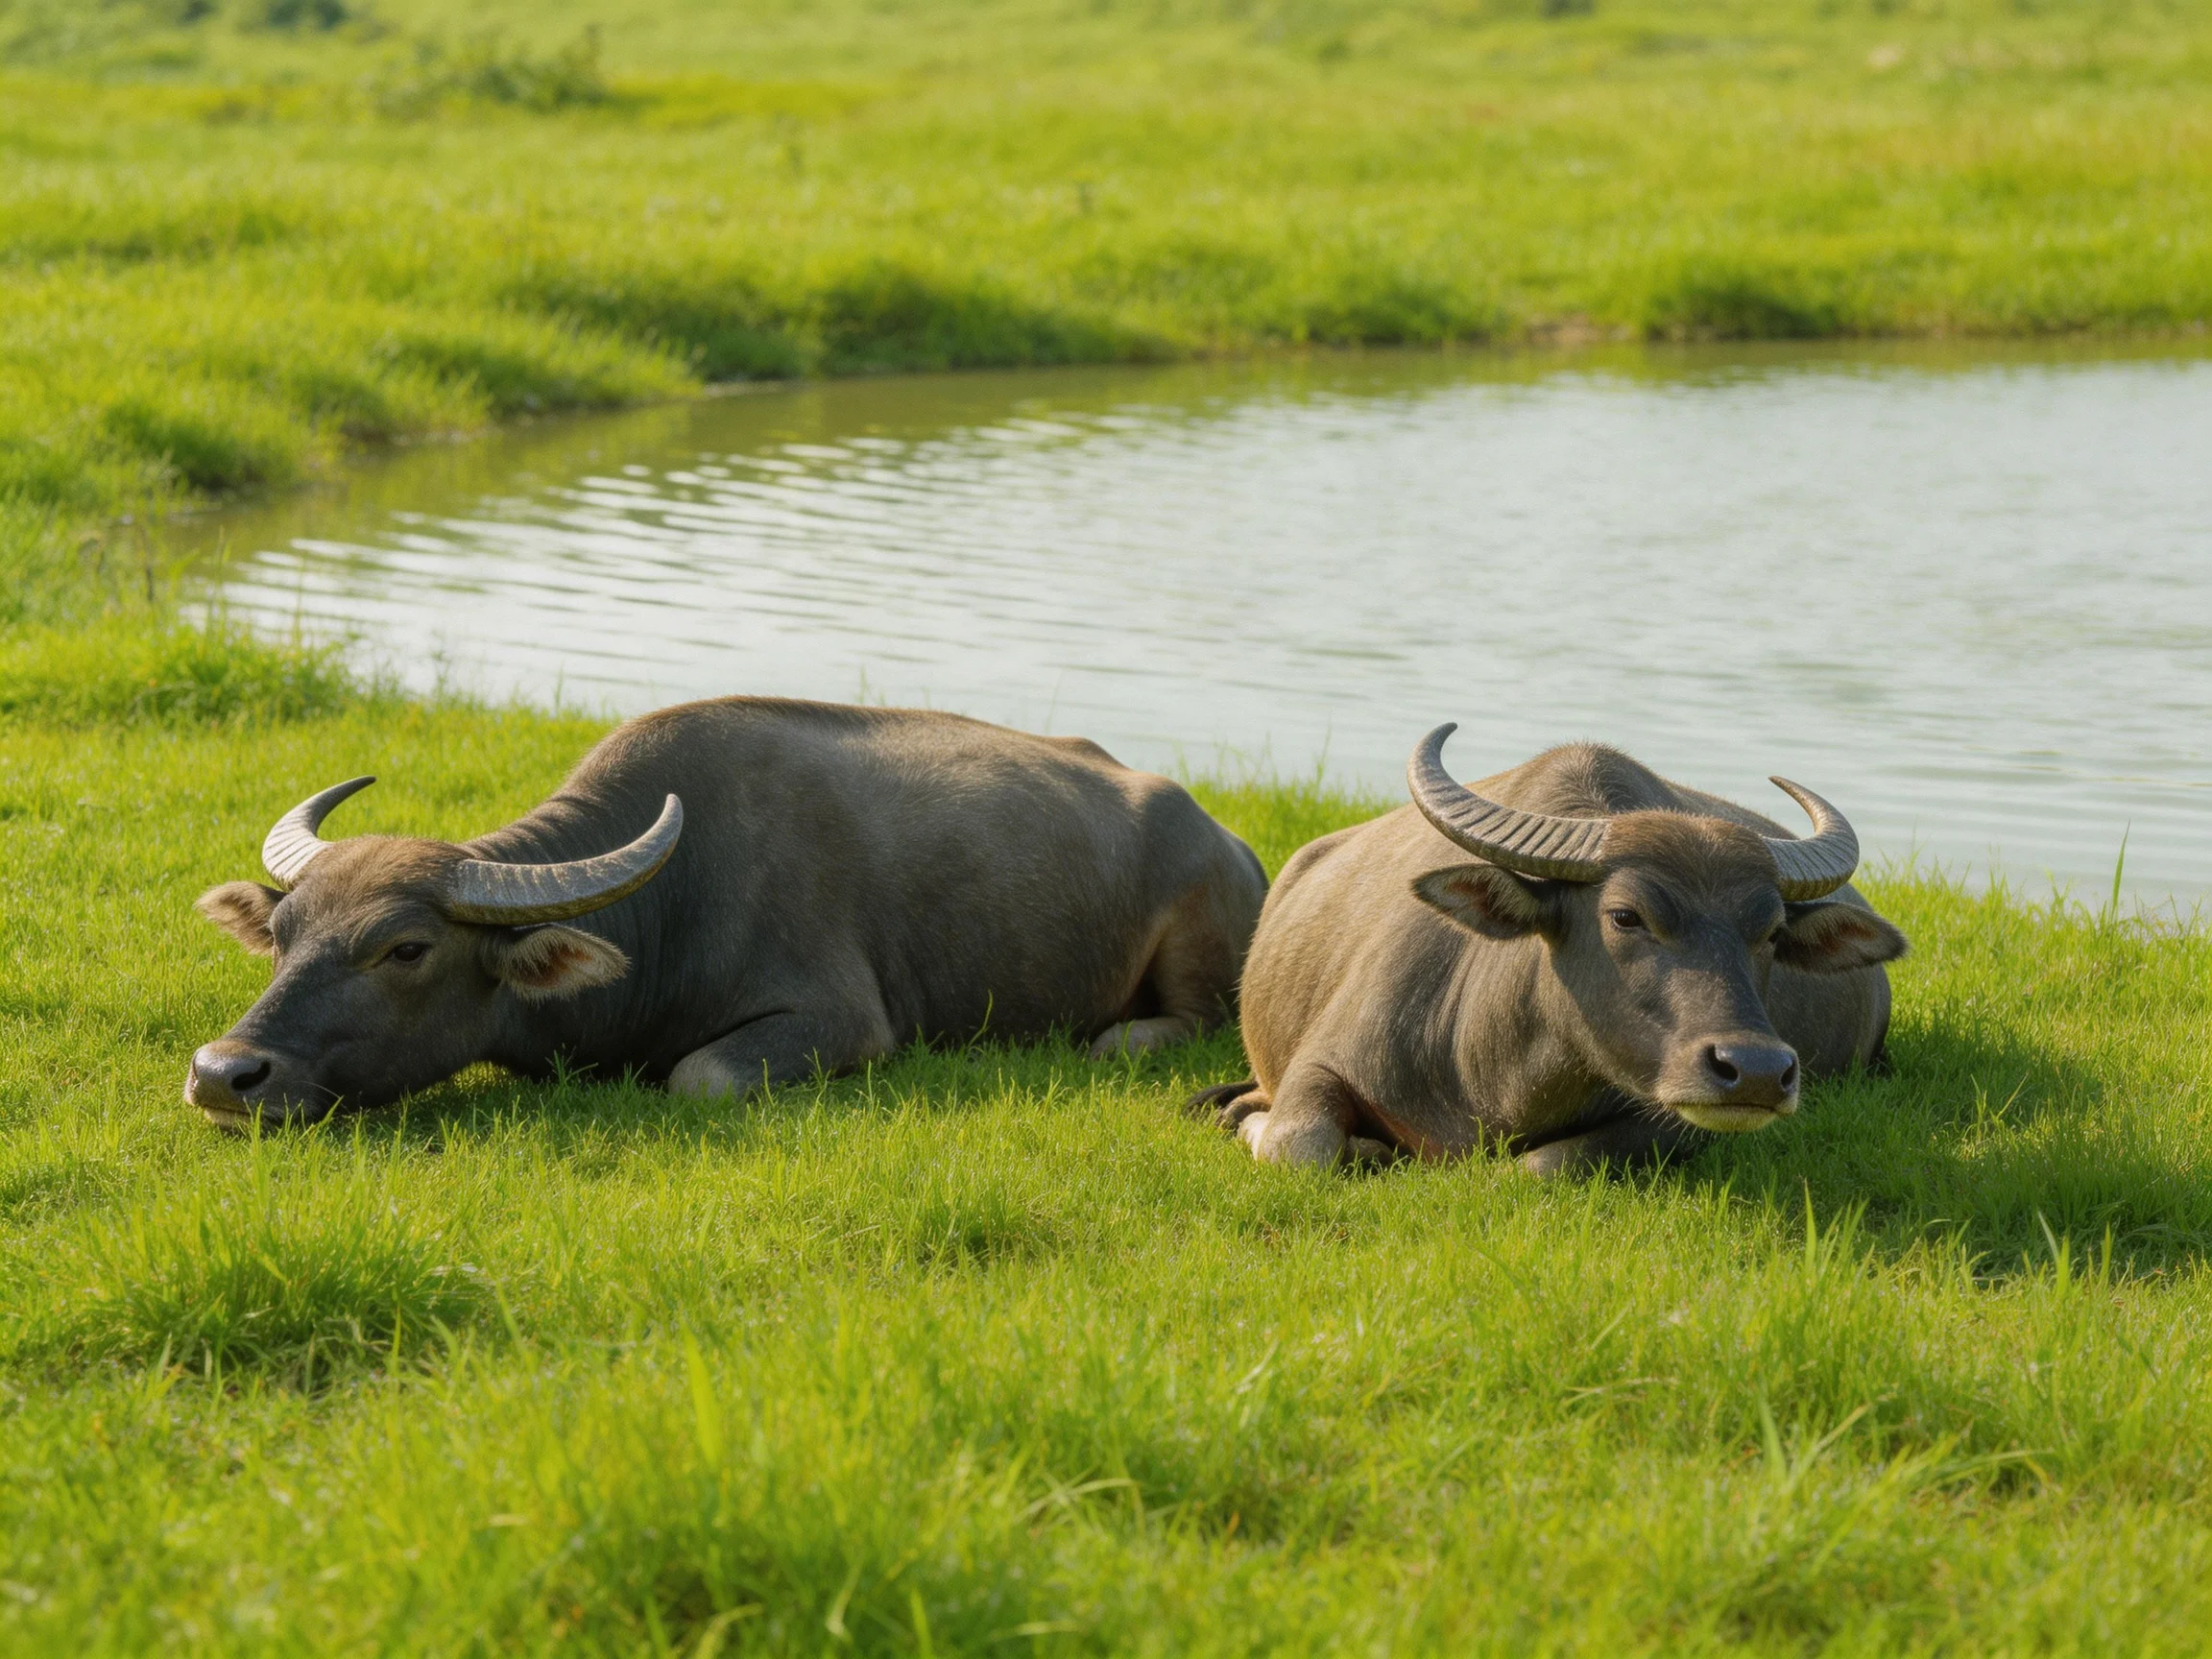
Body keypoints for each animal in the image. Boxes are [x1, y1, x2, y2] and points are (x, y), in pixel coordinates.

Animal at [188, 698, 1267, 1125]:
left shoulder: (842, 1023)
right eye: (280, 935)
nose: (223, 1075)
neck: (666, 907)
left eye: (405, 949)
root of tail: (1231, 840)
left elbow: (699, 1077)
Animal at [1196, 725, 1907, 1176]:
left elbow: (1541, 1165)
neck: (1488, 1064)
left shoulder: (1667, 1122)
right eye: (1625, 915)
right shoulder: (1320, 1066)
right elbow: (1296, 1150)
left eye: (1771, 933)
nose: (1757, 1070)